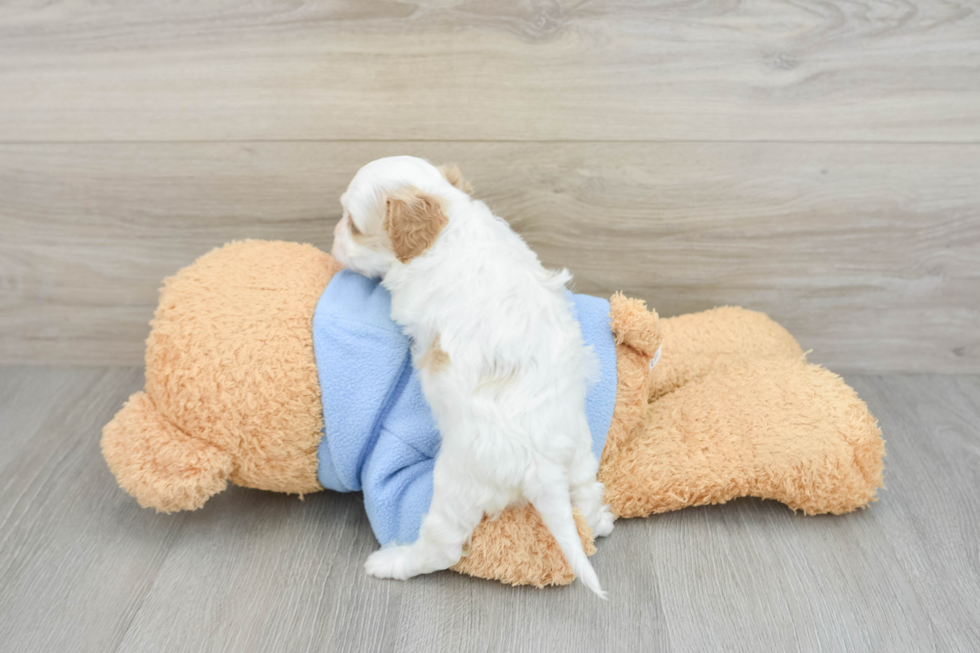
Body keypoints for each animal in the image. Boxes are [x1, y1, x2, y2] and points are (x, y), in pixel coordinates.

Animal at [334, 155, 616, 592]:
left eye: (352, 224)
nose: (332, 238)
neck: (450, 220)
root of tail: (543, 468)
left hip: (457, 485)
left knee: (442, 548)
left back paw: (392, 562)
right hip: (579, 450)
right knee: (586, 494)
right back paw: (600, 519)